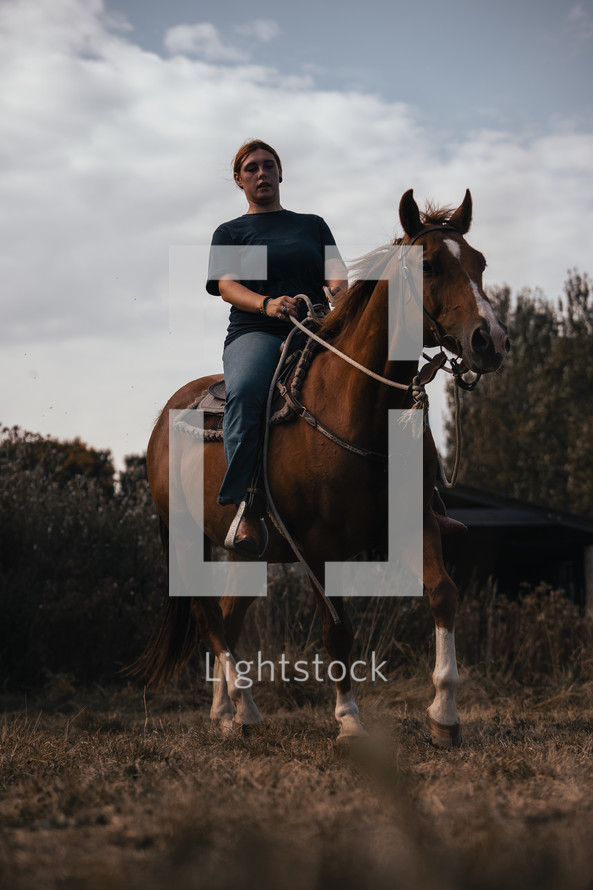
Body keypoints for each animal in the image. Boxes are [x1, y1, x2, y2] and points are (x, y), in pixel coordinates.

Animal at [138, 191, 508, 744]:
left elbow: (443, 593)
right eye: (428, 265)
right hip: (184, 537)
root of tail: (165, 417)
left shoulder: (417, 522)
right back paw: (244, 708)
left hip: (248, 552)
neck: (361, 407)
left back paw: (226, 711)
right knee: (210, 618)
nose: (491, 341)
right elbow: (337, 630)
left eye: (479, 262)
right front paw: (349, 722)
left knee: (228, 614)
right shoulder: (314, 545)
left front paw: (444, 715)